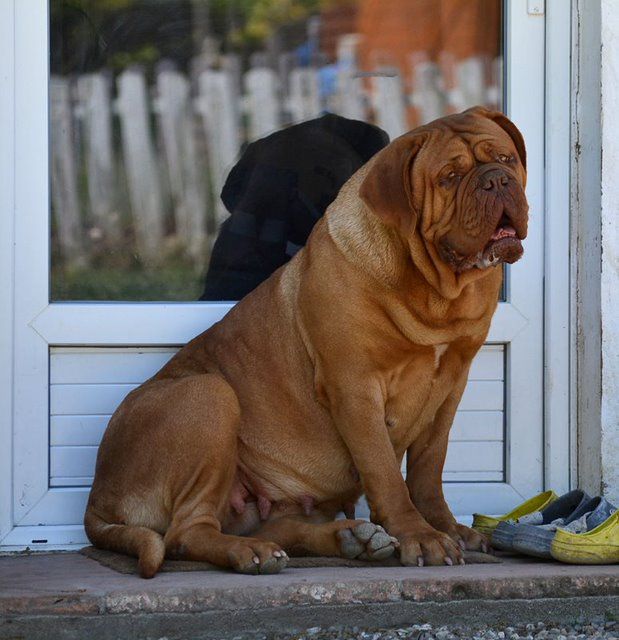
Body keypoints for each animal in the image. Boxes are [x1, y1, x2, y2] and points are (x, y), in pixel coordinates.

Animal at [83, 105, 528, 576]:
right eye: (449, 177)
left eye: (506, 158)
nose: (496, 180)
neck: (437, 292)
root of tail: (98, 496)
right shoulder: (355, 388)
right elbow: (386, 473)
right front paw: (420, 536)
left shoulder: (450, 387)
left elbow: (429, 469)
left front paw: (447, 527)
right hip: (208, 395)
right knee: (186, 533)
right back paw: (252, 553)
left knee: (281, 530)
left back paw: (350, 538)